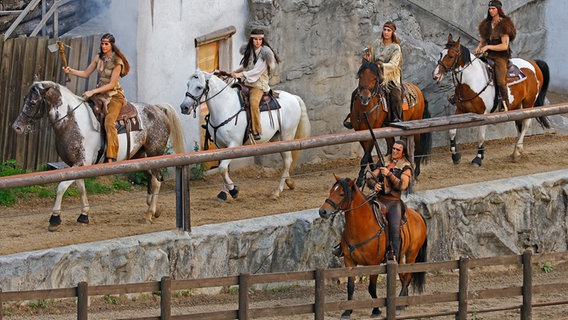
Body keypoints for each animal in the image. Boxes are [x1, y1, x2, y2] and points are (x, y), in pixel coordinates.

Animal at [12, 80, 186, 230]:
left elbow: (61, 187)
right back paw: (154, 208)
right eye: (25, 99)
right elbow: (81, 187)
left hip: (154, 153)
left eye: (33, 103)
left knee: (156, 181)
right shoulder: (77, 165)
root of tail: (158, 109)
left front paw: (55, 219)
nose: (17, 127)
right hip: (140, 157)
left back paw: (149, 214)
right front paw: (84, 216)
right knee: (151, 178)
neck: (72, 121)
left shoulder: (80, 163)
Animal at [180, 69, 310, 200]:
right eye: (187, 84)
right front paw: (223, 193)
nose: (184, 107)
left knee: (288, 160)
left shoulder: (234, 144)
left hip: (287, 135)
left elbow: (222, 168)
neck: (225, 107)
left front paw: (234, 190)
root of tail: (293, 97)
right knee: (286, 160)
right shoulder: (221, 146)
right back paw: (289, 183)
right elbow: (225, 168)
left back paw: (277, 191)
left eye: (199, 87)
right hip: (277, 138)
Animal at [320, 176, 426, 318]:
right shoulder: (349, 261)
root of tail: (418, 216)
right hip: (399, 256)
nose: (323, 211)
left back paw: (399, 305)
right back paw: (403, 302)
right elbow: (350, 287)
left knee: (408, 276)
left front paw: (376, 310)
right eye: (331, 191)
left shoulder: (373, 263)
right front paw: (347, 311)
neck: (362, 226)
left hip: (411, 254)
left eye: (341, 194)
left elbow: (371, 287)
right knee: (403, 275)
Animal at [430, 33, 552, 166]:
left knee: (525, 124)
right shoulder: (460, 110)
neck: (472, 81)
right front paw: (456, 156)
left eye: (451, 56)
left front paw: (478, 158)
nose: (435, 75)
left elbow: (481, 136)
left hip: (528, 102)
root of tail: (533, 63)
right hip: (517, 105)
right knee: (519, 125)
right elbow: (452, 131)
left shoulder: (484, 114)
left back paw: (517, 152)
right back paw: (515, 152)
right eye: (441, 54)